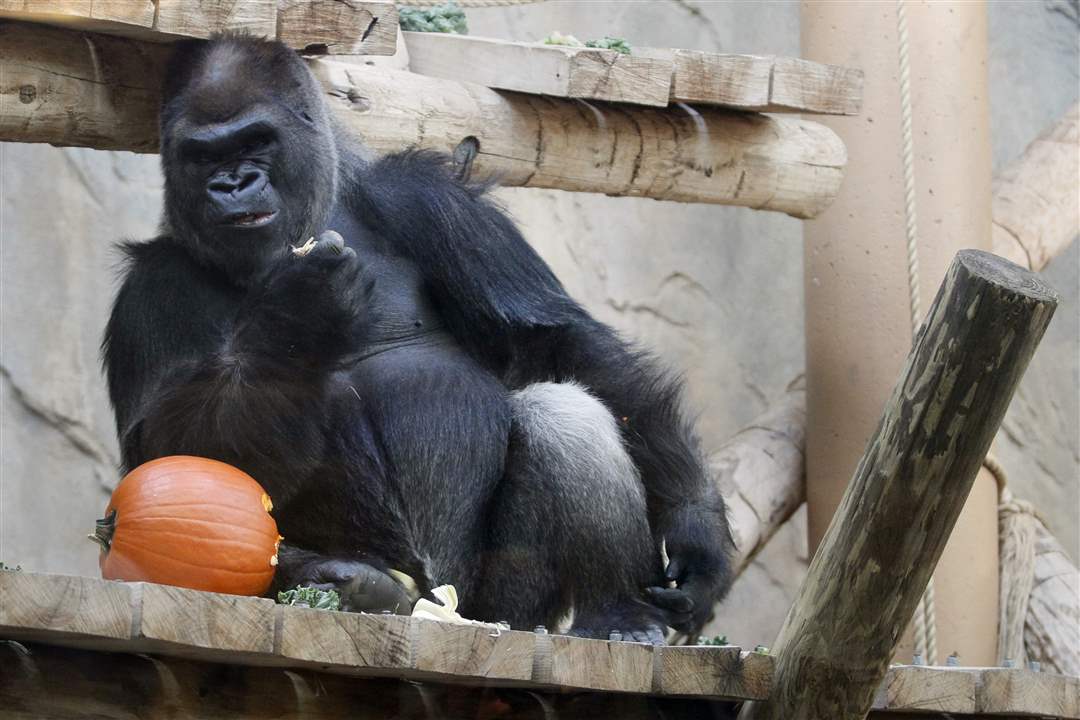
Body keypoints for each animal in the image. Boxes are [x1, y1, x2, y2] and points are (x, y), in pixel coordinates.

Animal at [103, 33, 734, 643]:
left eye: (256, 141)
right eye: (202, 154)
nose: (232, 183)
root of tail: (443, 609)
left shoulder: (428, 199)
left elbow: (559, 345)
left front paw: (697, 531)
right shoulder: (149, 289)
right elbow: (168, 455)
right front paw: (296, 317)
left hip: (501, 607)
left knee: (563, 412)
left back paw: (616, 612)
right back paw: (357, 583)